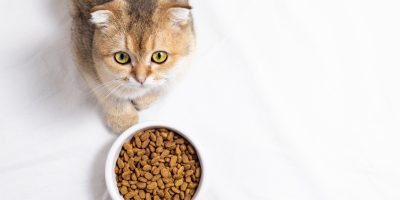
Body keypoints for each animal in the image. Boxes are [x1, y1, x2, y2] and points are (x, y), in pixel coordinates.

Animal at [72, 0, 197, 134]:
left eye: (159, 56)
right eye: (121, 57)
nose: (141, 79)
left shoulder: (190, 46)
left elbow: (167, 82)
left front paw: (145, 98)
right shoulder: (83, 52)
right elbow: (106, 90)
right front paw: (123, 118)